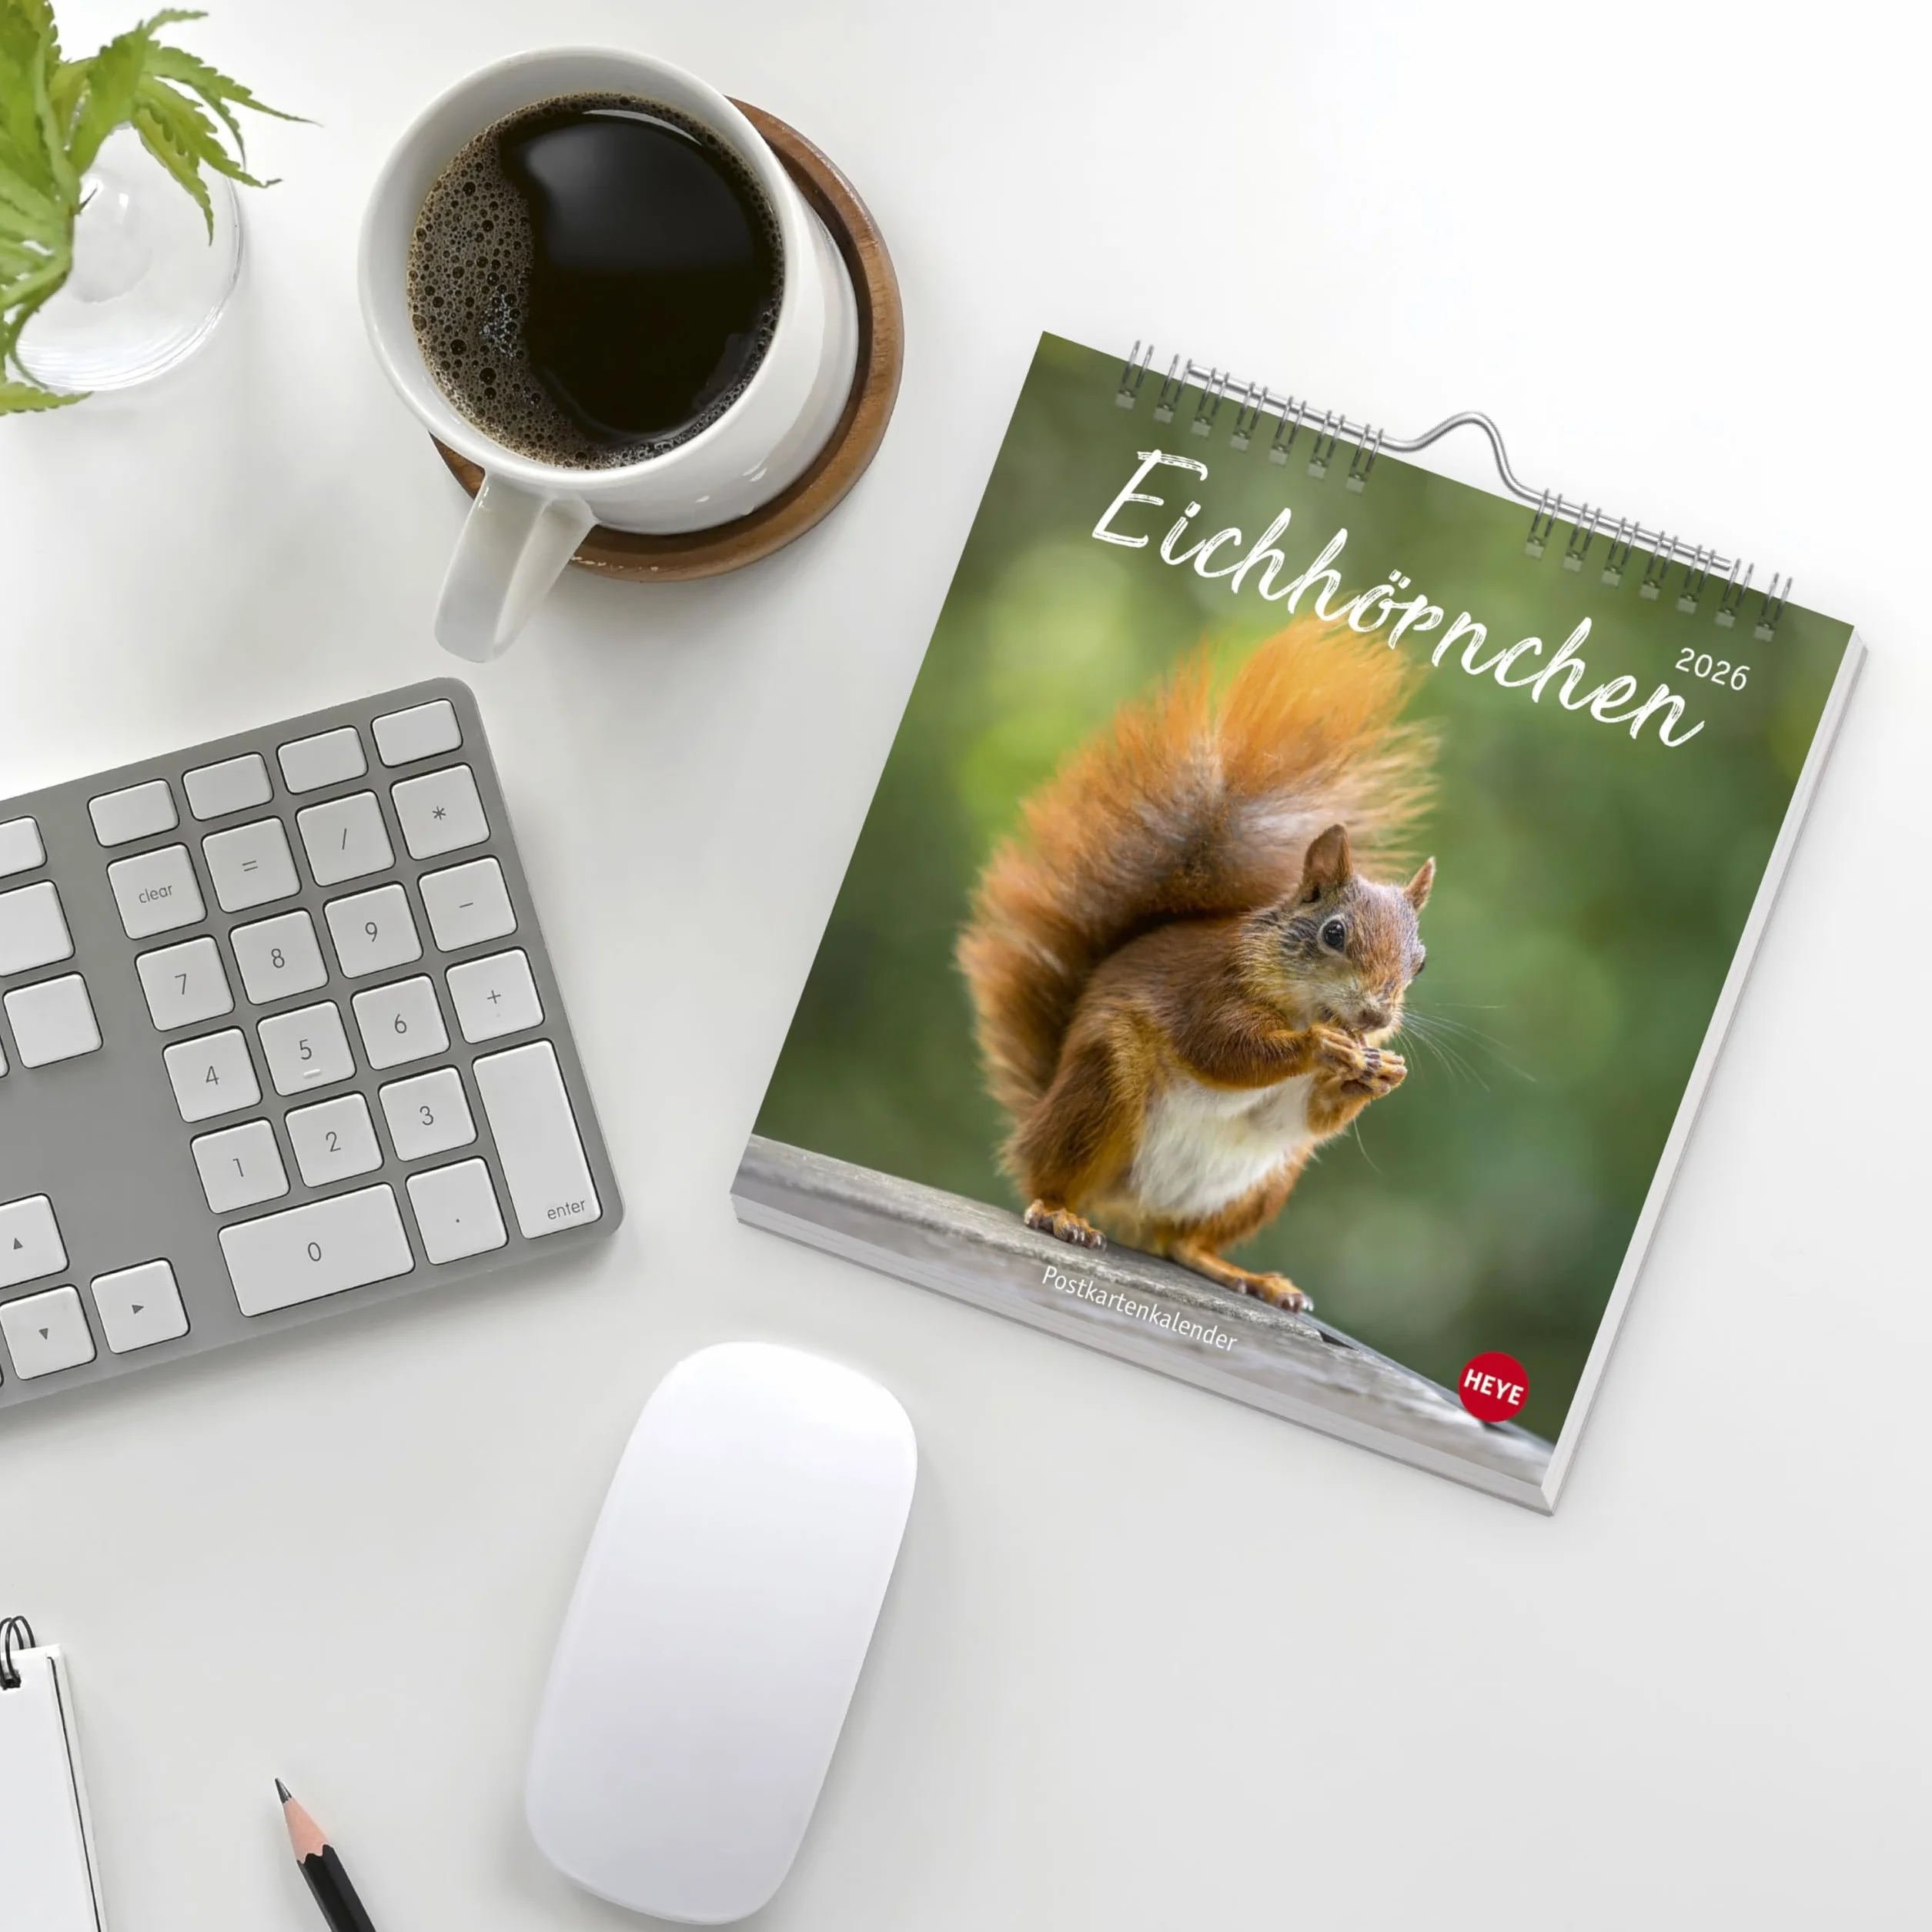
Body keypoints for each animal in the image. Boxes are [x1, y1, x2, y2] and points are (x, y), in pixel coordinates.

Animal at [957, 615, 1437, 1314]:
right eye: (1334, 933)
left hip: (1262, 1181)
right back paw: (1058, 1211)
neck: (1299, 1002)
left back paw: (1246, 1275)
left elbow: (1314, 1113)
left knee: (1181, 1243)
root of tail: (1125, 1212)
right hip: (1103, 1085)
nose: (1376, 1017)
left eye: (1420, 965)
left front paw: (1384, 1071)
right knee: (1052, 1178)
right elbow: (1224, 1049)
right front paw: (1320, 1047)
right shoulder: (1208, 989)